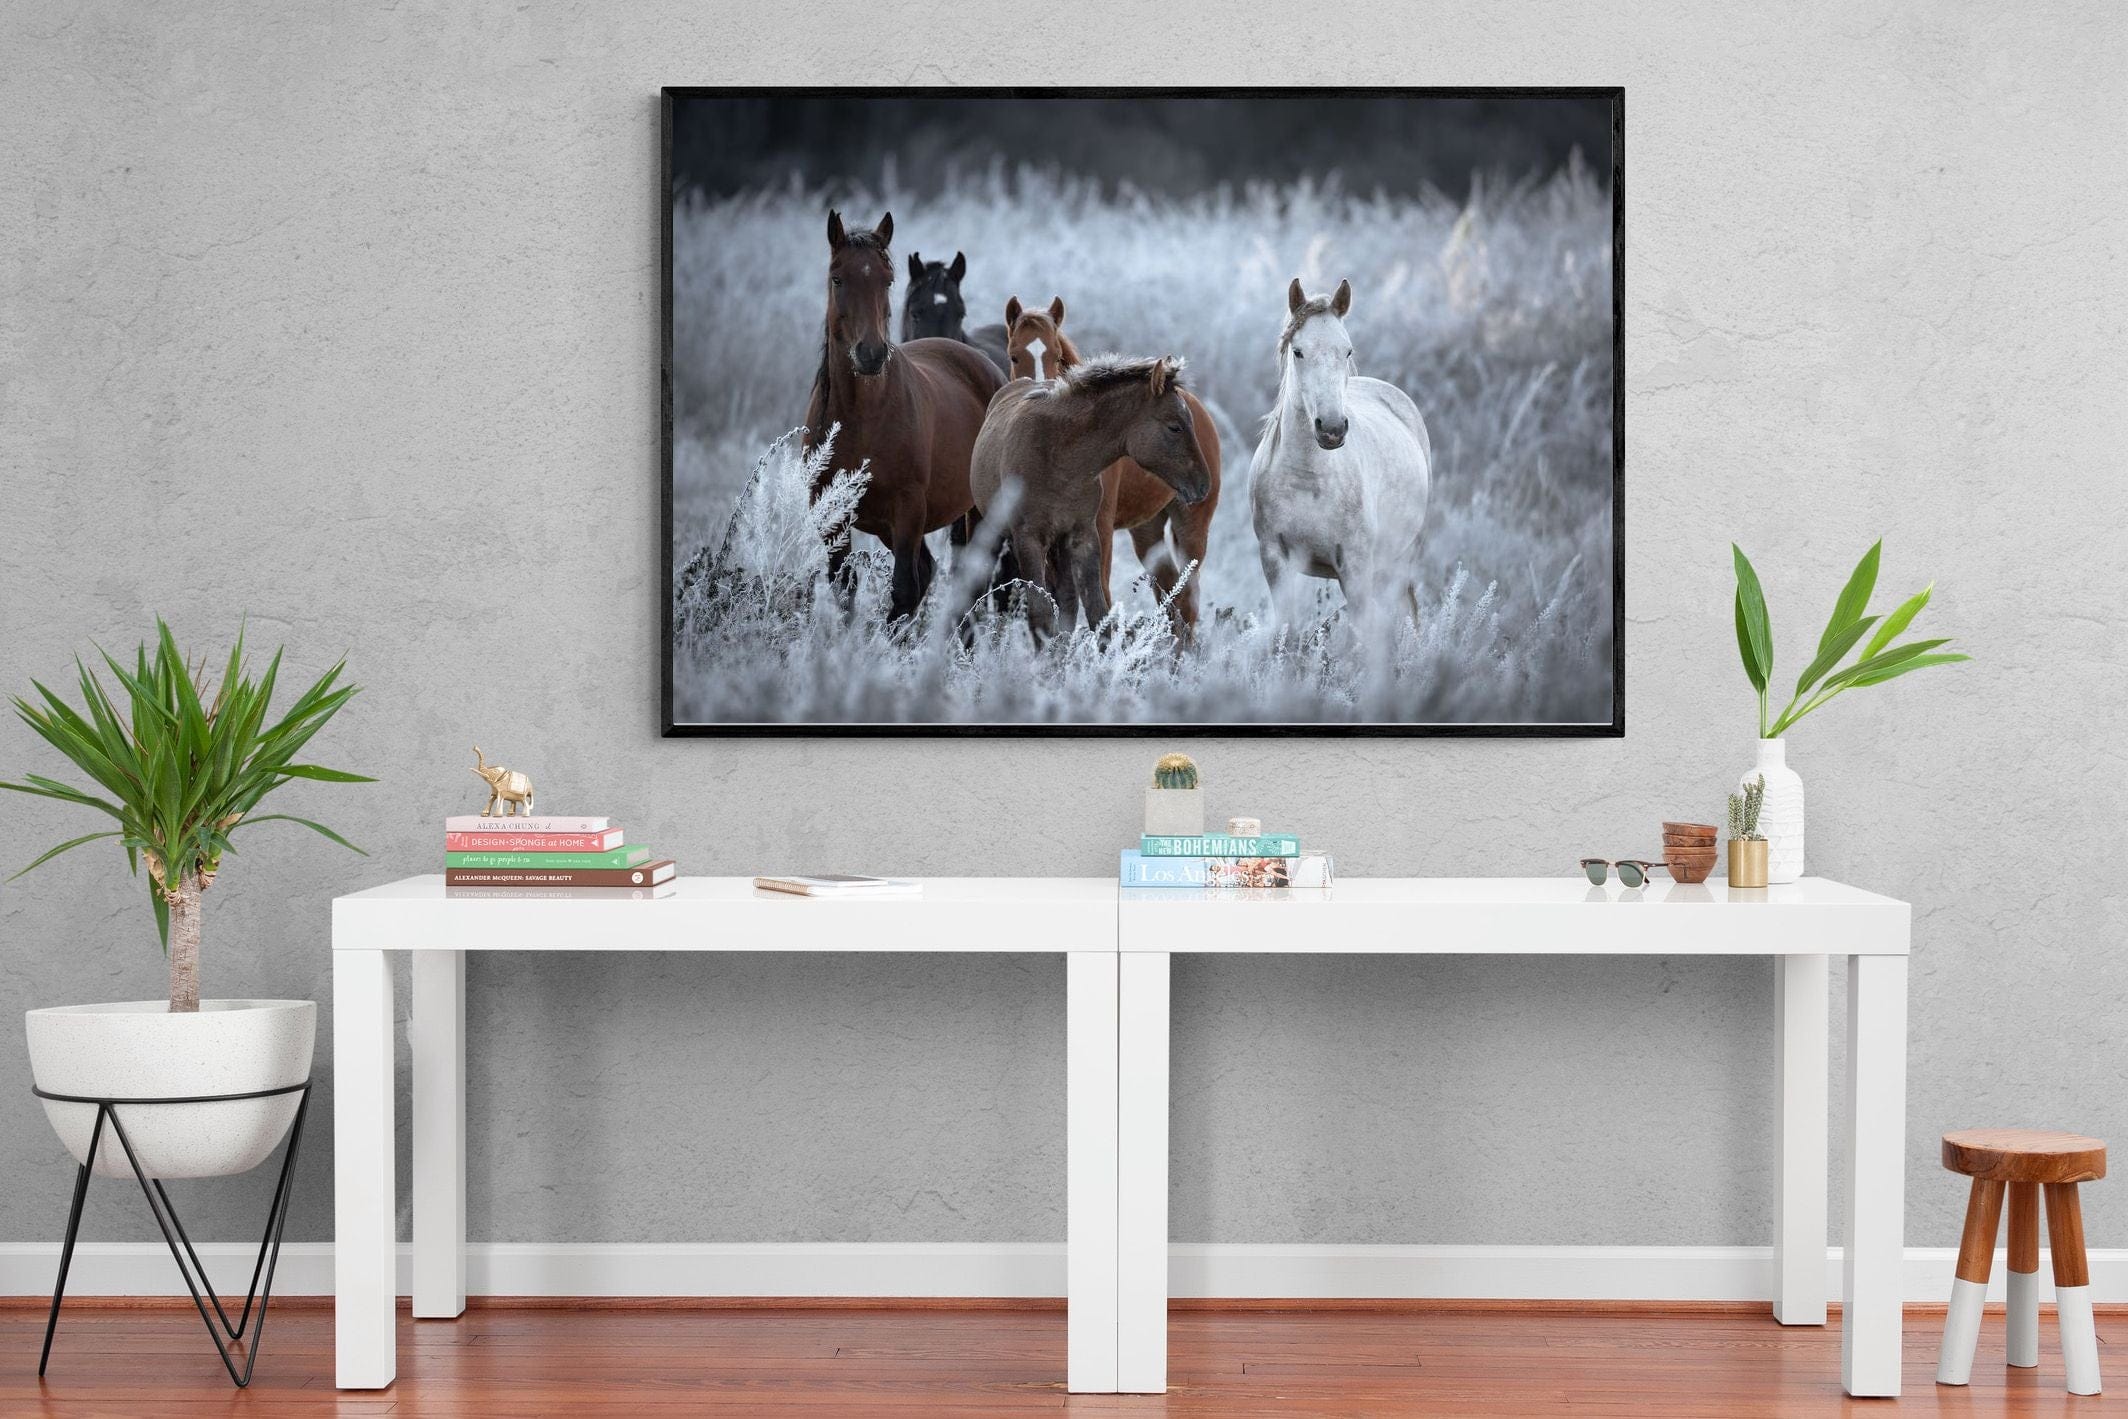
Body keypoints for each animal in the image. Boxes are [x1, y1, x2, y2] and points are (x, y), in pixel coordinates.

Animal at [802, 212, 1004, 620]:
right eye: (837, 278)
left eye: (887, 280)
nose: (871, 354)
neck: (862, 416)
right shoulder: (832, 516)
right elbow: (845, 590)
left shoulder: (908, 510)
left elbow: (903, 591)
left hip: (975, 511)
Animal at [970, 355, 1212, 640]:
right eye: (1175, 427)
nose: (1203, 484)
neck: (1059, 458)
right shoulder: (1028, 539)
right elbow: (1041, 615)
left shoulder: (1082, 536)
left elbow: (1097, 612)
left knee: (1069, 602)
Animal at [1004, 296, 1223, 639]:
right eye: (1014, 354)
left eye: (1056, 354)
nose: (1038, 389)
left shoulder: (1098, 528)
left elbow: (1100, 597)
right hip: (1147, 530)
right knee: (1170, 592)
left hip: (1192, 527)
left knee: (1187, 599)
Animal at [1249, 278, 1432, 633]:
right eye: (1298, 351)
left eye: (1347, 350)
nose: (1332, 429)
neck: (1308, 479)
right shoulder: (1275, 561)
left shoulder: (1355, 566)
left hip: (1398, 562)